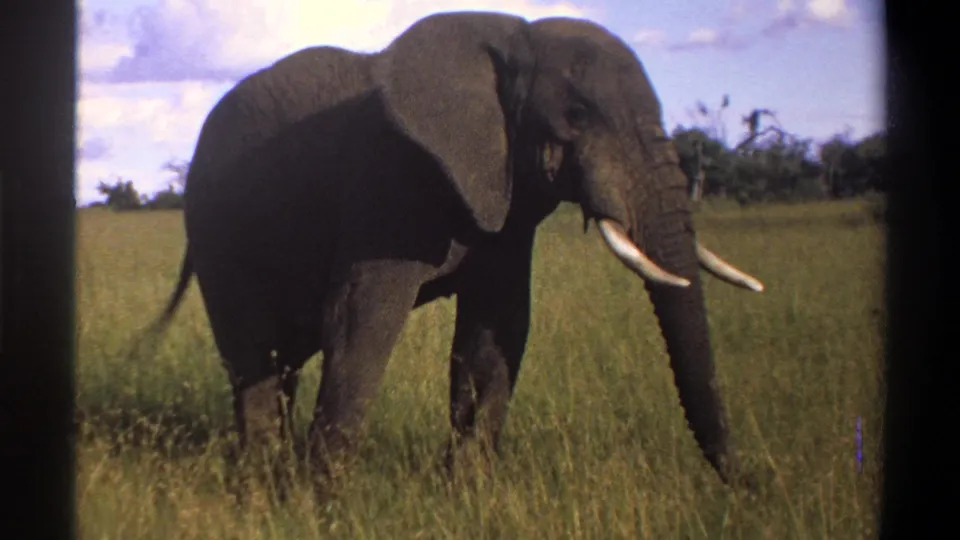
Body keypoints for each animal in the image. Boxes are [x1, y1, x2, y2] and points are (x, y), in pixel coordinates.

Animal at [149, 11, 766, 498]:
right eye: (578, 115)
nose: (754, 484)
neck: (514, 38)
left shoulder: (505, 200)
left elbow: (497, 331)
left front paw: (468, 494)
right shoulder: (389, 177)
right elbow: (361, 319)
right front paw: (320, 504)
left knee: (281, 360)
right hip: (217, 229)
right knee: (253, 355)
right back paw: (259, 484)